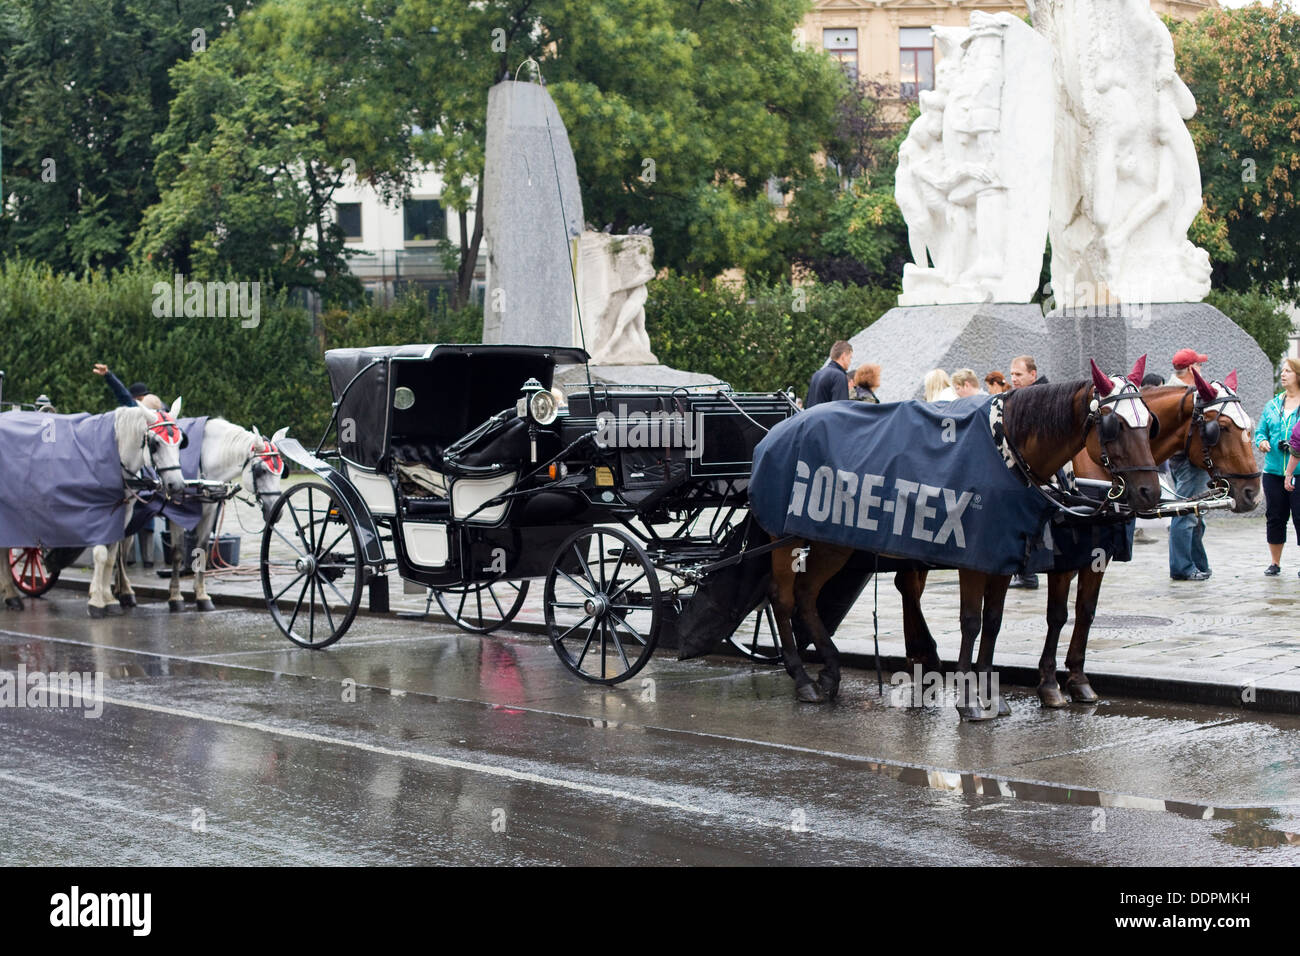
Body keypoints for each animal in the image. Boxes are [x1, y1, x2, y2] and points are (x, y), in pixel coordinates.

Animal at [165, 421, 284, 613]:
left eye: (282, 472)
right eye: (261, 471)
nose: (277, 510)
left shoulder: (210, 511)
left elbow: (203, 549)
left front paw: (202, 595)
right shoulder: (176, 512)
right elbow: (177, 551)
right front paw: (175, 597)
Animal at [764, 361, 1164, 717]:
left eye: (1150, 425)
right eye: (1114, 426)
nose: (1150, 492)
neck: (1006, 449)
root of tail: (781, 428)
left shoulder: (1006, 554)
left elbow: (996, 621)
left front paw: (991, 693)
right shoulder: (976, 555)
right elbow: (974, 621)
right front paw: (970, 699)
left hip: (832, 544)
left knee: (807, 595)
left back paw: (831, 670)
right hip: (785, 539)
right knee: (782, 599)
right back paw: (802, 677)